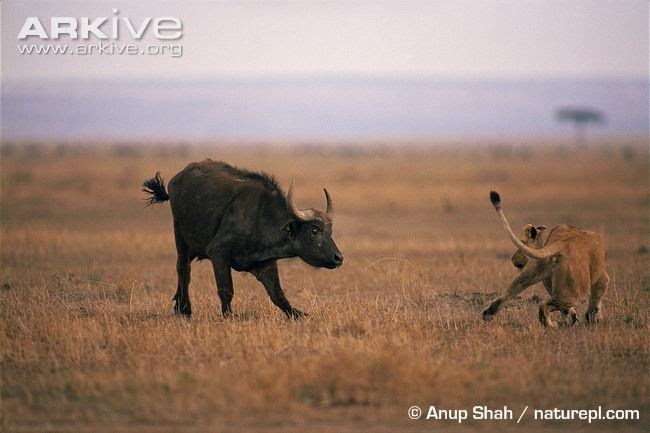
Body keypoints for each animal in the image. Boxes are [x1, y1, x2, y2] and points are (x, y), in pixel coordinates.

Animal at [142, 159, 344, 318]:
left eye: (330, 231)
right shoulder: (218, 254)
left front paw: (300, 314)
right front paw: (228, 316)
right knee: (183, 269)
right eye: (315, 230)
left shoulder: (266, 265)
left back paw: (178, 305)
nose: (338, 258)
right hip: (181, 240)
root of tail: (177, 179)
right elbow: (226, 290)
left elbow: (278, 296)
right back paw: (185, 309)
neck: (261, 218)